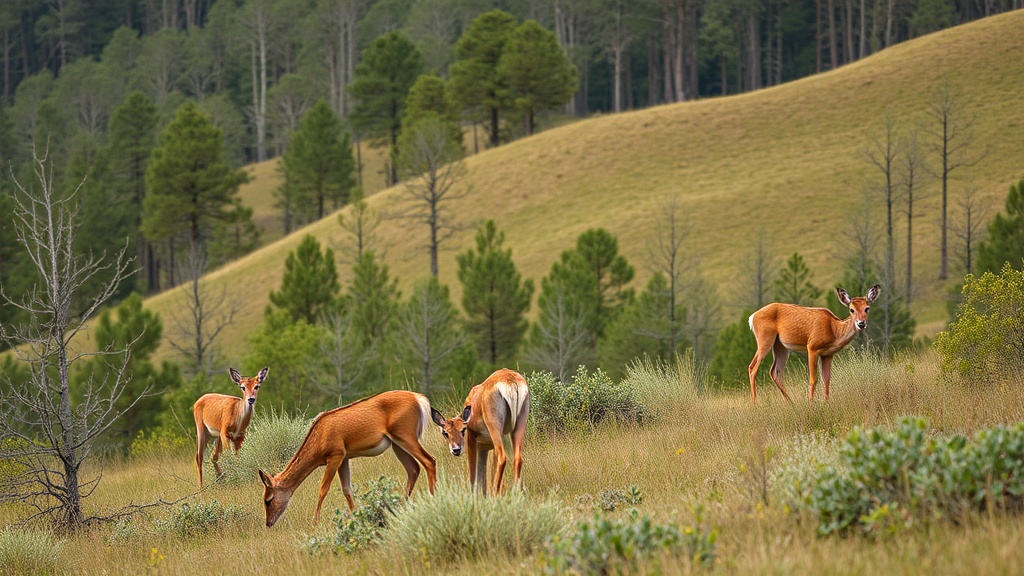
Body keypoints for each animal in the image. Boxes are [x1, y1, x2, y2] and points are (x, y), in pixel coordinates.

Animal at [258, 390, 437, 528]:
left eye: (268, 500)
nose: (268, 523)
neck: (319, 441)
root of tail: (421, 400)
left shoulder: (335, 454)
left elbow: (323, 489)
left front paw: (314, 522)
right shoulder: (345, 457)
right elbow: (346, 489)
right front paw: (355, 515)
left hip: (405, 434)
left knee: (429, 461)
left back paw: (433, 497)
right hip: (397, 443)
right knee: (413, 468)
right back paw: (400, 505)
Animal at [747, 285, 880, 403]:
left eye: (867, 308)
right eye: (851, 310)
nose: (861, 323)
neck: (834, 330)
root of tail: (752, 317)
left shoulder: (828, 354)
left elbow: (826, 379)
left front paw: (826, 403)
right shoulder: (812, 347)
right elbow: (813, 379)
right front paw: (811, 403)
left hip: (780, 346)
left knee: (775, 372)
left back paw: (791, 404)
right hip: (764, 338)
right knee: (753, 367)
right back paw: (755, 404)